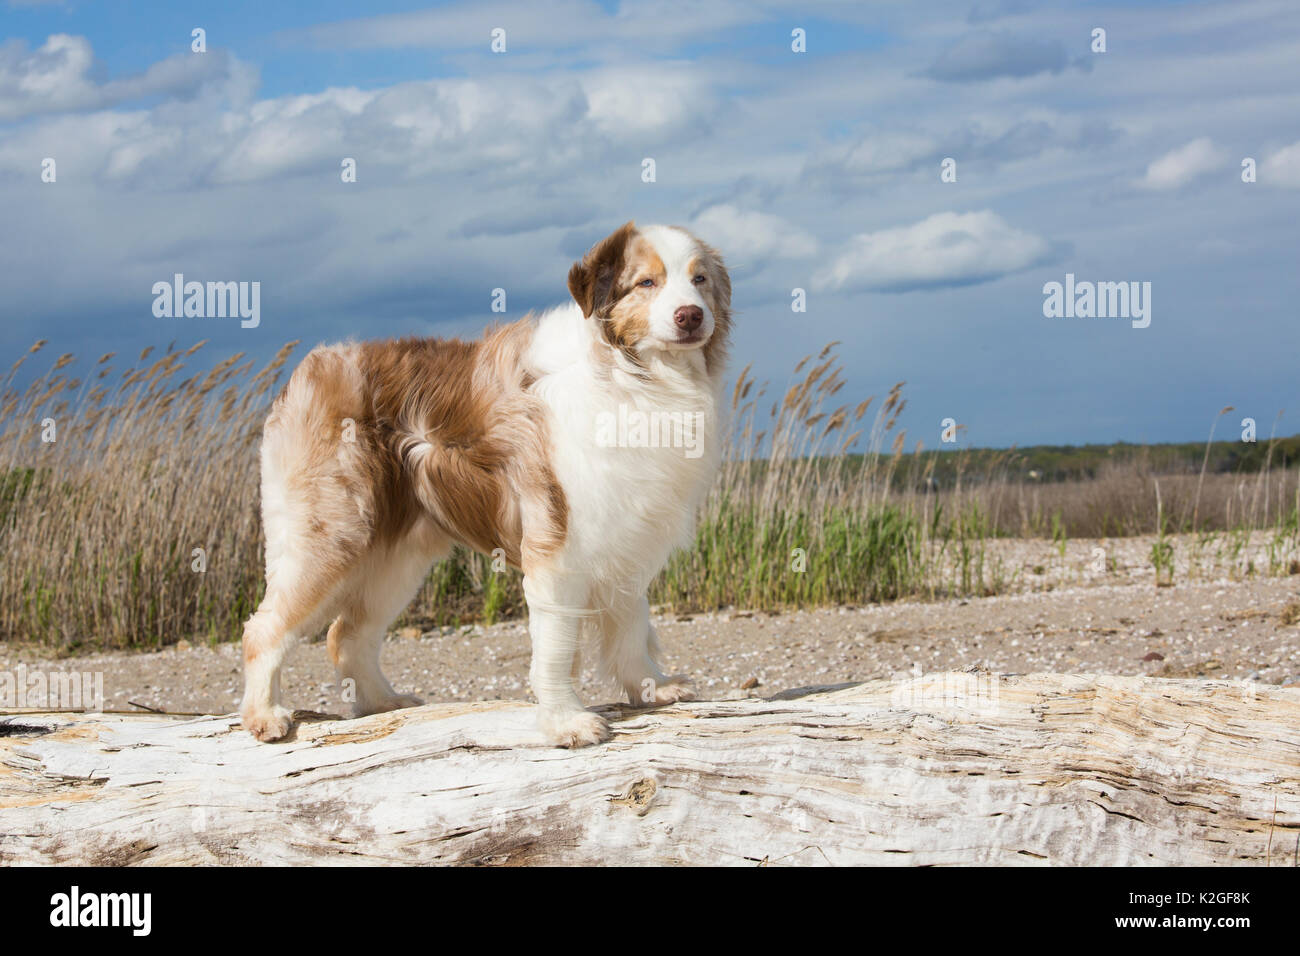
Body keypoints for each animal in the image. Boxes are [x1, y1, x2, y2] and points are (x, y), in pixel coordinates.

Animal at [239, 222, 733, 749]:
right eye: (646, 283)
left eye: (699, 279)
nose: (690, 316)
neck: (632, 375)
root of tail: (310, 369)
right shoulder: (557, 545)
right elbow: (557, 648)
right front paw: (566, 722)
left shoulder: (626, 537)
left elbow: (632, 627)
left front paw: (652, 688)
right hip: (332, 534)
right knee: (262, 628)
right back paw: (265, 715)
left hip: (397, 555)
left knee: (347, 633)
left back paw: (384, 704)